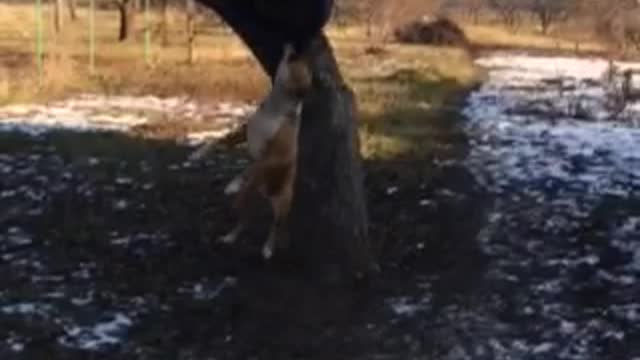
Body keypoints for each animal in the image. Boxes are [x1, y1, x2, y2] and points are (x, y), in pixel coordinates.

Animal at [189, 44, 312, 258]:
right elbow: (215, 141)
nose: (294, 46)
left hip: (283, 204)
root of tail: (269, 194)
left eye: (295, 60)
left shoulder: (272, 156)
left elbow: (251, 168)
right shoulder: (242, 133)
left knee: (275, 225)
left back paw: (268, 248)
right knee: (244, 220)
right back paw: (230, 237)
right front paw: (196, 155)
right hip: (253, 203)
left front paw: (234, 184)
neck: (276, 108)